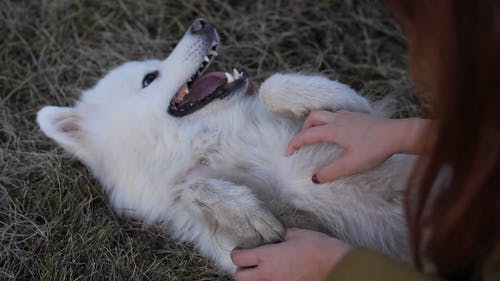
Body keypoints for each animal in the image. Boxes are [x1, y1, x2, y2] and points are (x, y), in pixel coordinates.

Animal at [36, 18, 414, 272]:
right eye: (149, 78)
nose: (200, 22)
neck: (218, 139)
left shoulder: (364, 121)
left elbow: (275, 87)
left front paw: (321, 95)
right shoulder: (244, 251)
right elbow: (192, 188)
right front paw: (247, 212)